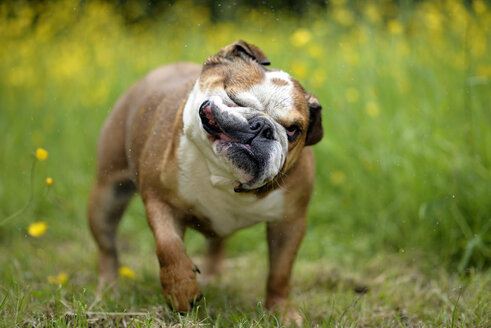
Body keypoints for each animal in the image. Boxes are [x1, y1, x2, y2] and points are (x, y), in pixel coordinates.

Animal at [88, 40, 322, 322]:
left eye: (293, 130)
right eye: (234, 98)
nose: (263, 127)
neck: (225, 177)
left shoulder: (289, 222)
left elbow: (281, 271)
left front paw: (282, 311)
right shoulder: (160, 200)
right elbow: (168, 245)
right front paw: (180, 288)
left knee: (217, 243)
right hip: (107, 196)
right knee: (107, 248)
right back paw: (107, 291)